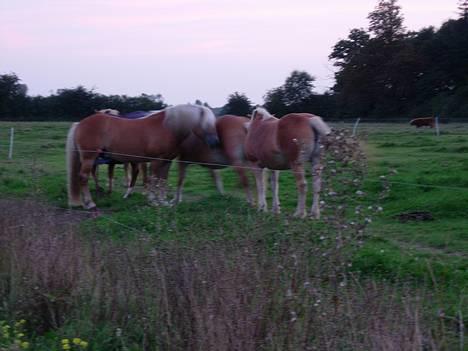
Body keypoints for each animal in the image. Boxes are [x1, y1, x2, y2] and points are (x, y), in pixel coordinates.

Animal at [66, 104, 218, 209]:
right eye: (205, 123)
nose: (215, 142)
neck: (167, 127)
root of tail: (80, 123)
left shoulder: (166, 161)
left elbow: (162, 181)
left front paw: (163, 202)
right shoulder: (156, 161)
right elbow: (153, 180)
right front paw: (153, 201)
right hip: (89, 158)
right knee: (83, 178)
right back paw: (90, 203)